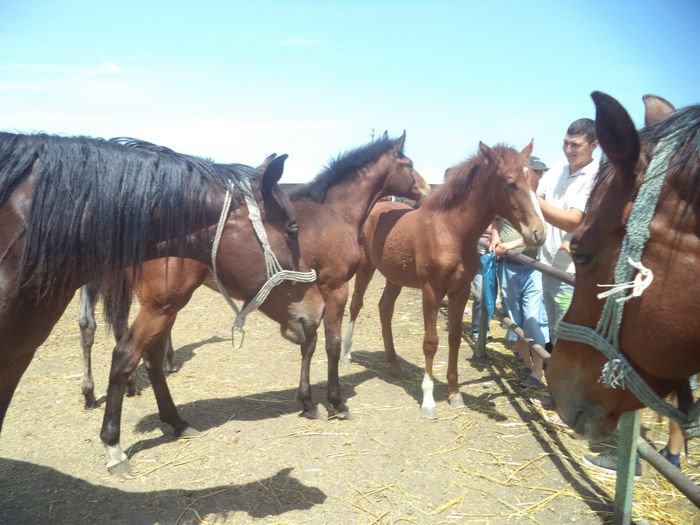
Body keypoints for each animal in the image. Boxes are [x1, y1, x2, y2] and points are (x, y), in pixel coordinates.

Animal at [344, 140, 548, 418]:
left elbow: (454, 338)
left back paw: (393, 363)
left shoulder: (460, 291)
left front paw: (454, 393)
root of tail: (377, 206)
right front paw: (428, 400)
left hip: (394, 275)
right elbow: (431, 342)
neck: (450, 231)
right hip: (366, 267)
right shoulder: (431, 291)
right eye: (510, 182)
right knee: (356, 304)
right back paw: (346, 354)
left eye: (536, 183)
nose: (539, 234)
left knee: (385, 308)